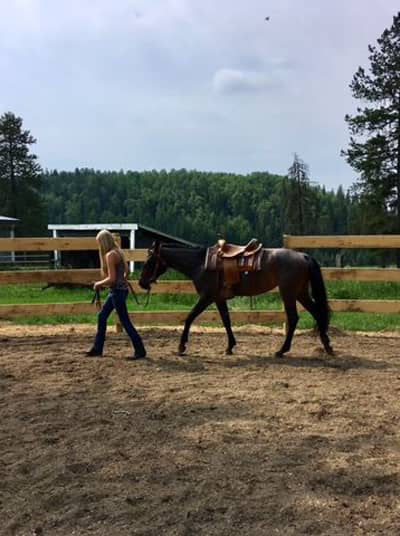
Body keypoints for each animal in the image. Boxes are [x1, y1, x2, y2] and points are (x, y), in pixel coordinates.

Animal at [139, 241, 332, 358]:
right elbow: (226, 320)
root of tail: (303, 256)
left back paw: (281, 350)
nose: (141, 283)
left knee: (293, 318)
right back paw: (327, 346)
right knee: (317, 313)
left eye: (149, 262)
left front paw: (181, 346)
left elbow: (189, 317)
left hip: (289, 293)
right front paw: (230, 346)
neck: (200, 264)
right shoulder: (219, 298)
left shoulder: (206, 297)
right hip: (300, 293)